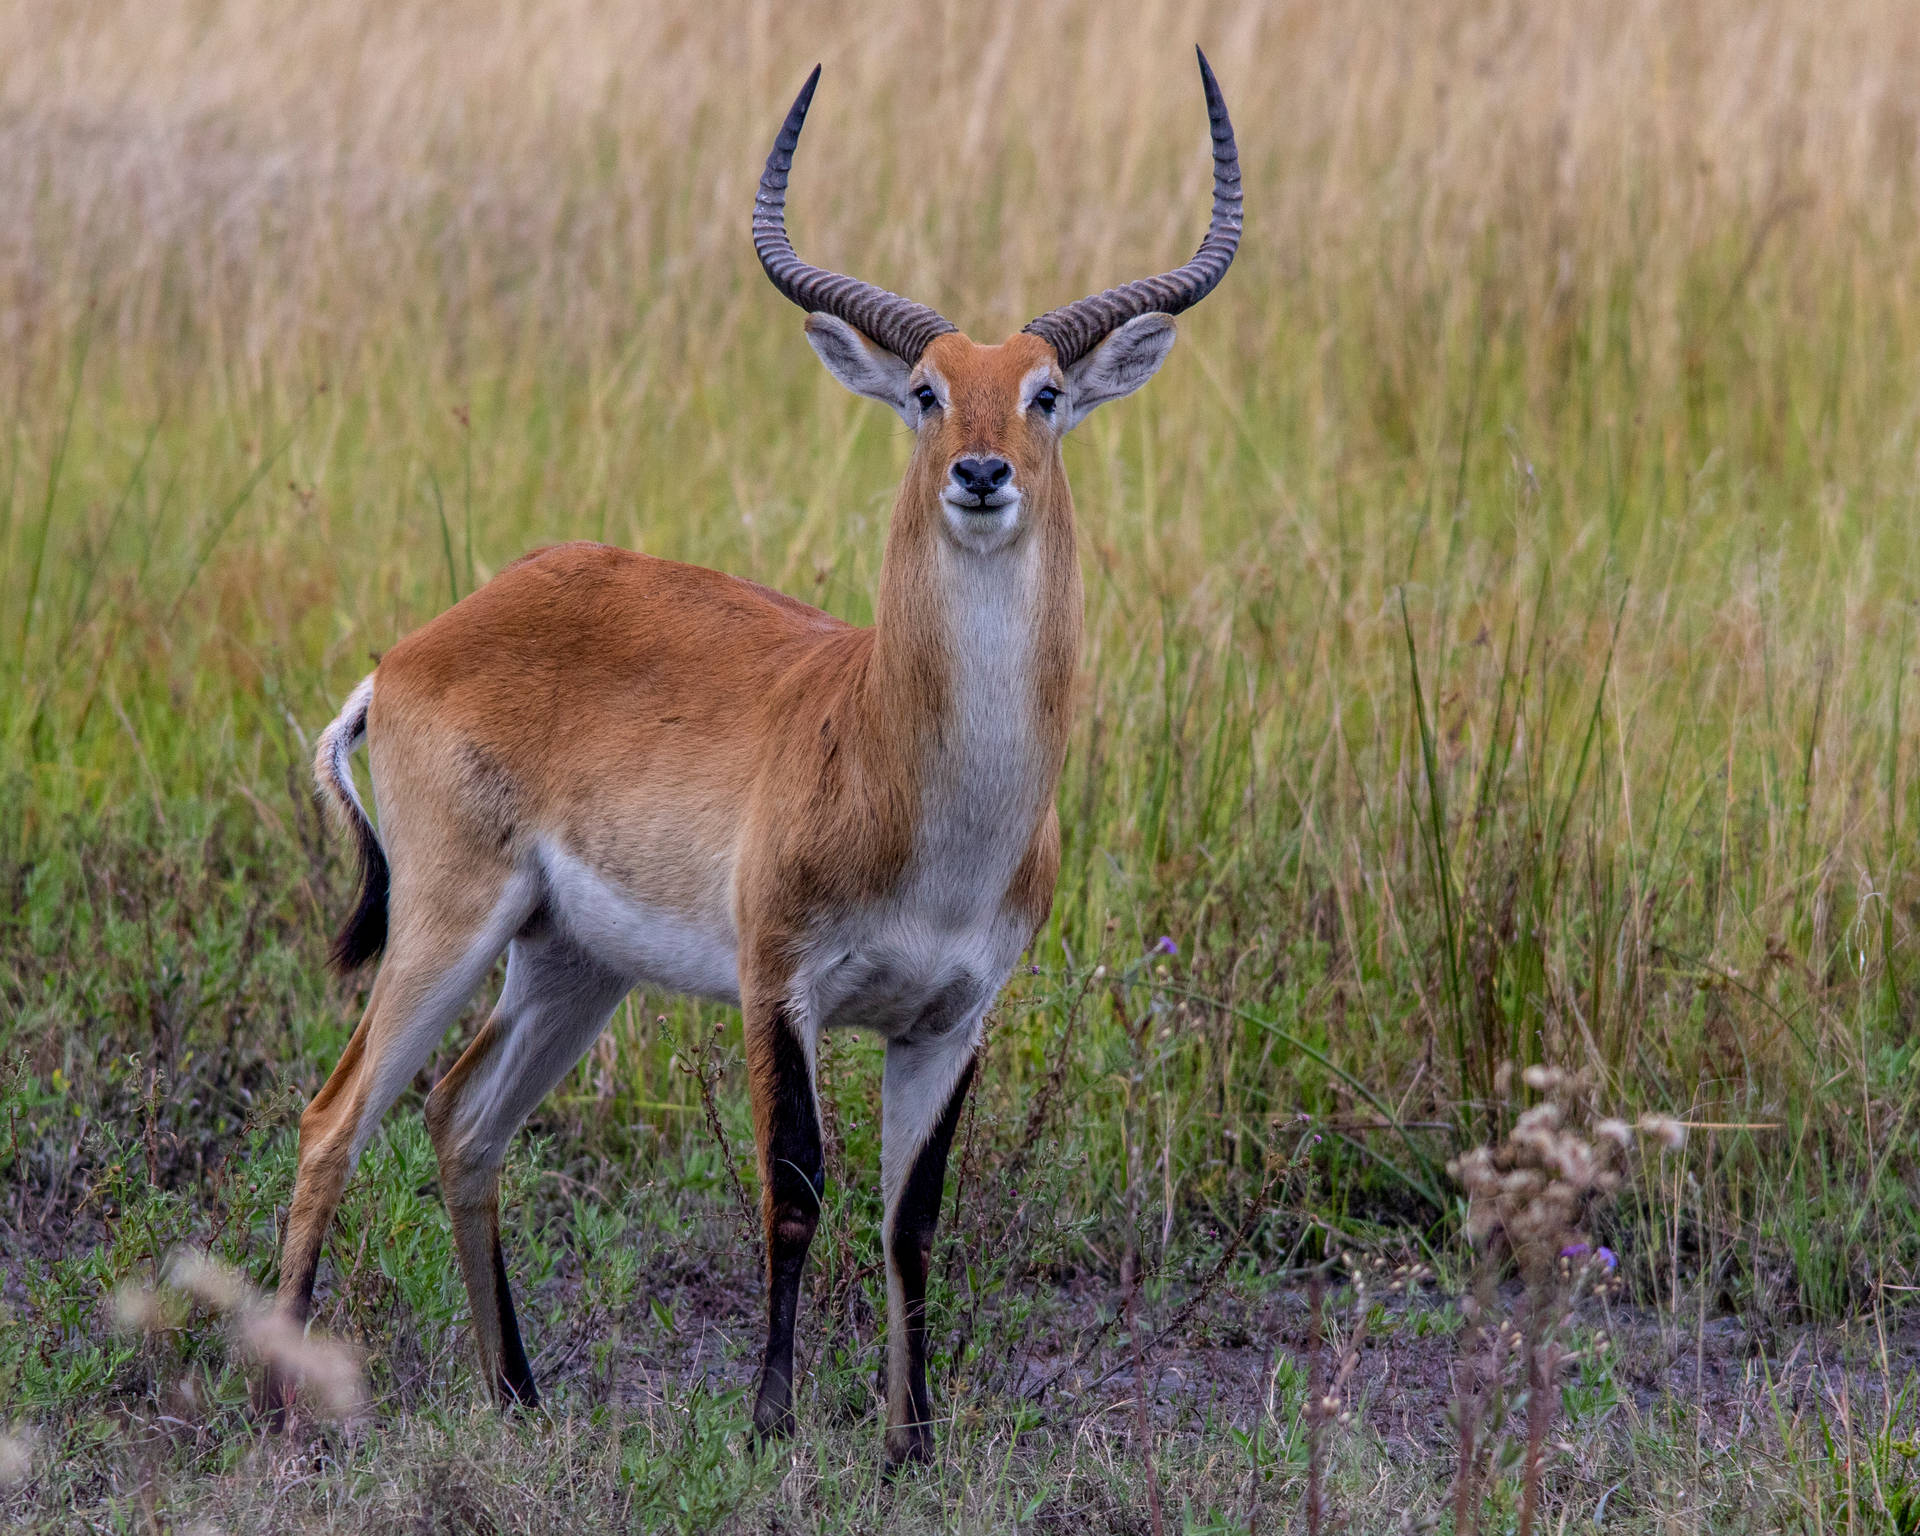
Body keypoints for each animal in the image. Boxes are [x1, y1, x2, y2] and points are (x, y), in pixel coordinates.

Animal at [278, 45, 1244, 1466]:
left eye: (1048, 392)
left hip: (571, 964)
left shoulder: (952, 1018)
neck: (922, 797)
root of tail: (412, 654)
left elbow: (911, 1223)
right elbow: (794, 1191)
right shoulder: (775, 982)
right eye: (925, 389)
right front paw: (771, 1426)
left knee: (463, 1115)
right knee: (334, 1116)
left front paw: (911, 1446)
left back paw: (516, 1395)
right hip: (449, 924)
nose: (980, 473)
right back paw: (277, 1405)